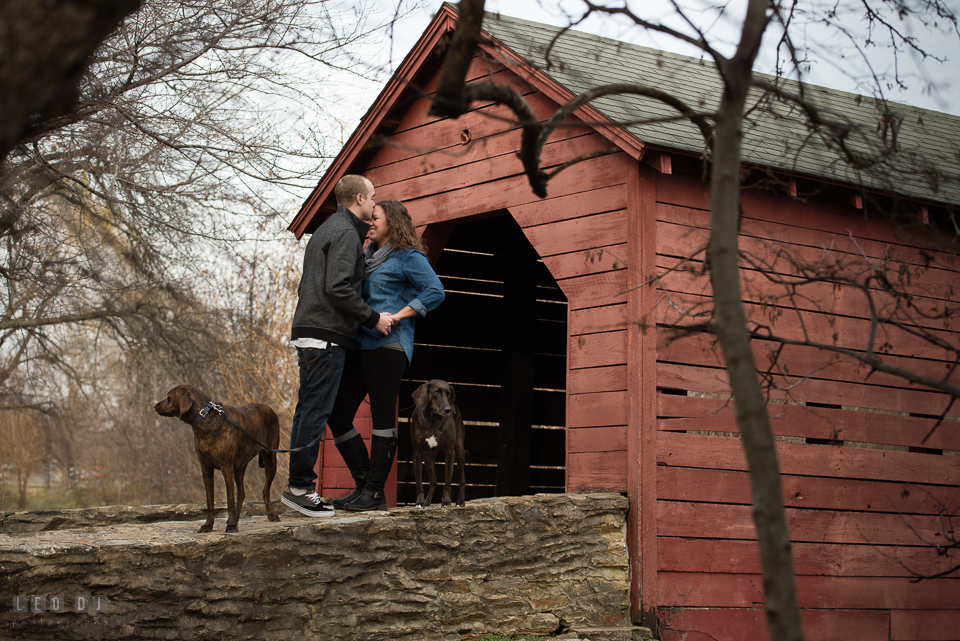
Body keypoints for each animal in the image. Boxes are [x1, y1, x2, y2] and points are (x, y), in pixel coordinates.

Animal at [155, 384, 282, 528]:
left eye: (168, 397)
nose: (154, 406)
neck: (205, 418)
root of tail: (270, 408)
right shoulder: (206, 468)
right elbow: (210, 501)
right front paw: (208, 525)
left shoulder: (226, 468)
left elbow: (229, 500)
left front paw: (231, 525)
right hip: (239, 467)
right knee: (242, 493)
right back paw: (237, 518)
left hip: (271, 460)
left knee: (265, 491)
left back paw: (270, 515)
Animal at [408, 378, 464, 508]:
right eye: (436, 392)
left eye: (449, 394)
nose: (448, 410)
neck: (433, 419)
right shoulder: (417, 454)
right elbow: (419, 482)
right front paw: (419, 502)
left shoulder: (450, 452)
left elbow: (448, 480)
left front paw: (446, 501)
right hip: (428, 457)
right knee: (433, 480)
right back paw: (427, 502)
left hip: (459, 451)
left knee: (462, 479)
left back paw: (460, 502)